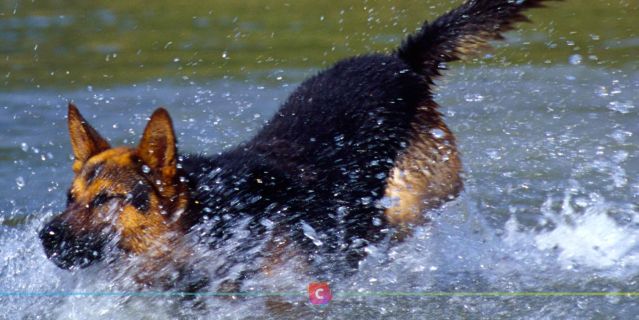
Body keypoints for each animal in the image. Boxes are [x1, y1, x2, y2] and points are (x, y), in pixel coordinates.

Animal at [41, 0, 560, 292]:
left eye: (107, 200)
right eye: (70, 198)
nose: (45, 236)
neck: (212, 215)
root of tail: (400, 64)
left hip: (414, 199)